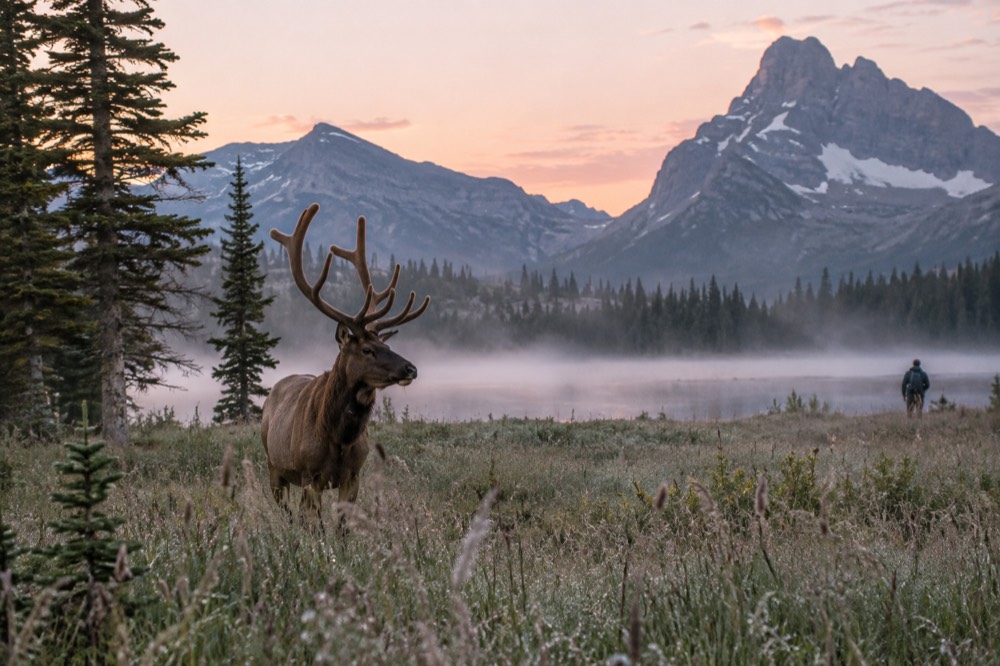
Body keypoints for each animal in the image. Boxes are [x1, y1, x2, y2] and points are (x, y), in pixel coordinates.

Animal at [261, 203, 429, 528]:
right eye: (367, 349)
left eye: (388, 346)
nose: (410, 369)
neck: (339, 438)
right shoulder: (310, 476)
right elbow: (316, 528)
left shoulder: (353, 476)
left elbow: (342, 529)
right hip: (274, 466)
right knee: (288, 513)